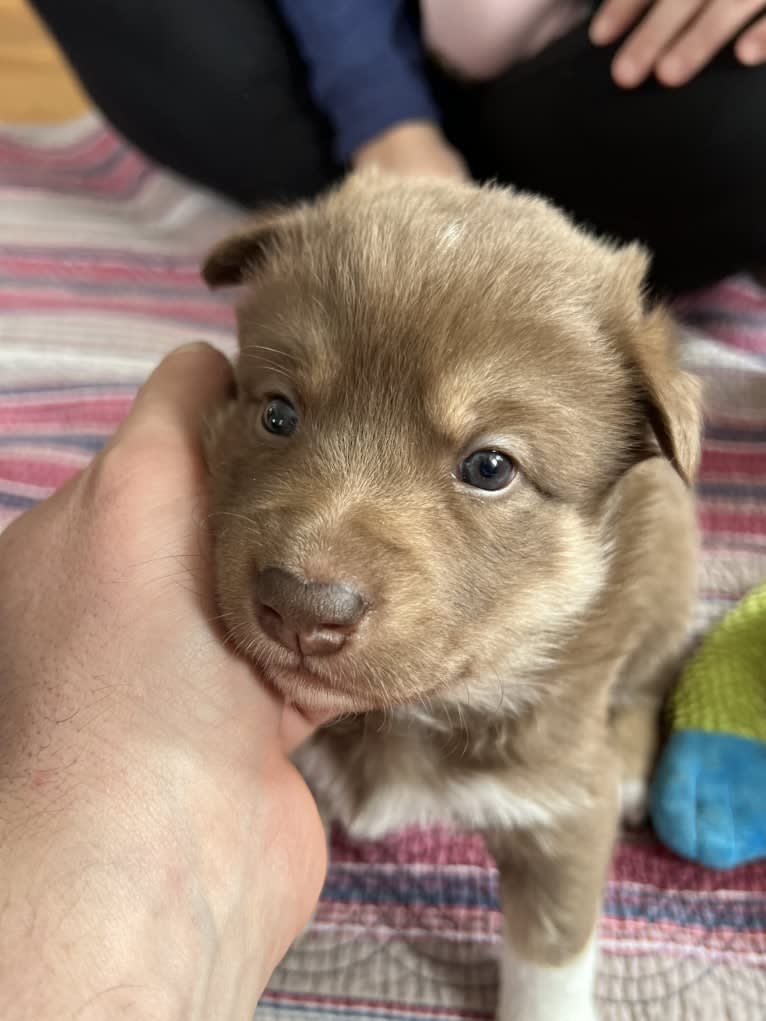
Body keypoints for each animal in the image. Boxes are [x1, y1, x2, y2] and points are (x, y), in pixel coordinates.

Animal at [202, 173, 702, 1021]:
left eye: (490, 466)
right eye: (277, 412)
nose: (301, 605)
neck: (411, 715)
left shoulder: (559, 800)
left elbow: (549, 958)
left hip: (666, 583)